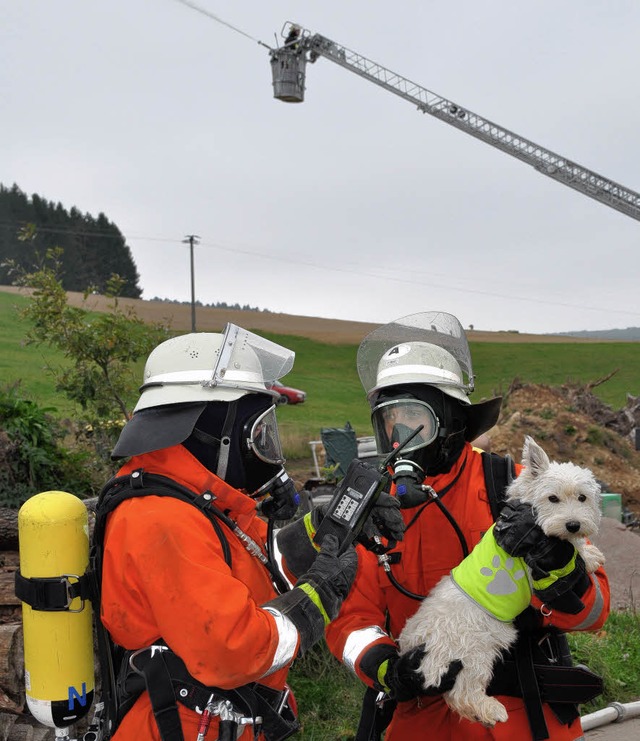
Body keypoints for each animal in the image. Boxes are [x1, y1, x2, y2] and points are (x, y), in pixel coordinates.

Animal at [400, 436, 604, 724]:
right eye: (552, 498)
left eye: (582, 497)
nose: (573, 524)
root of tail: (417, 643)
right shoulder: (534, 572)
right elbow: (568, 555)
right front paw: (586, 556)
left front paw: (587, 553)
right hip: (475, 652)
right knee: (462, 693)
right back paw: (490, 710)